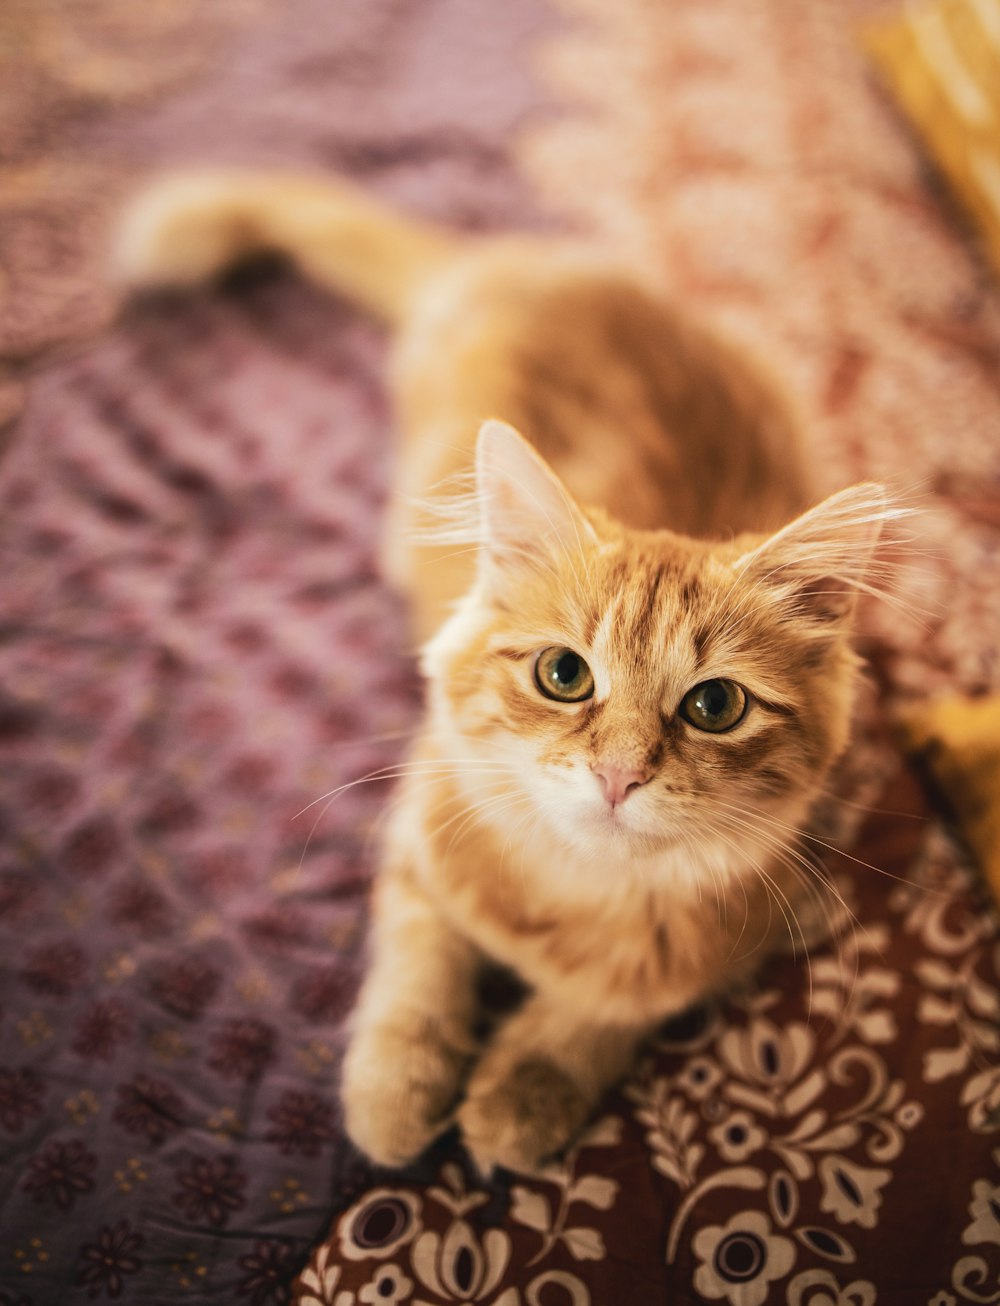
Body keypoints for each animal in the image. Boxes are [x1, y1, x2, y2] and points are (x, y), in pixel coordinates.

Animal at [117, 168, 892, 1180]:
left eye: (715, 704)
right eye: (565, 675)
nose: (619, 775)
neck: (578, 892)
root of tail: (518, 262)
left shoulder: (720, 945)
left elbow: (602, 1014)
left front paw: (523, 1091)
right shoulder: (418, 836)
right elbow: (416, 980)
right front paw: (395, 1099)